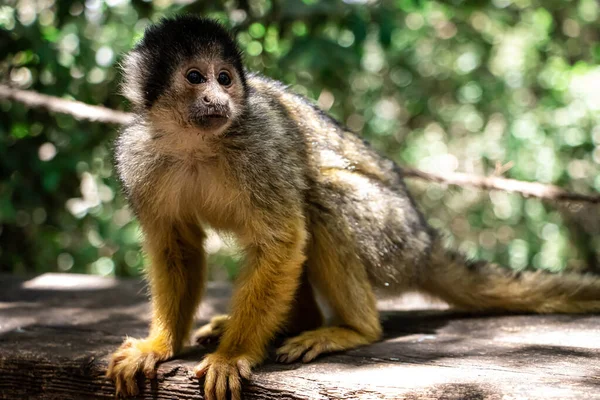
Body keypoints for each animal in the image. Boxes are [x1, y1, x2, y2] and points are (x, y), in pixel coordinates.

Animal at [109, 15, 600, 400]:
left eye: (225, 78)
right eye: (196, 78)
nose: (219, 99)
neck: (195, 143)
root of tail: (425, 241)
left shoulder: (260, 145)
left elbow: (283, 238)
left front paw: (232, 355)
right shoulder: (137, 158)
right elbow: (177, 245)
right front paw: (159, 346)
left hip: (393, 234)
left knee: (322, 198)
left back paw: (355, 329)